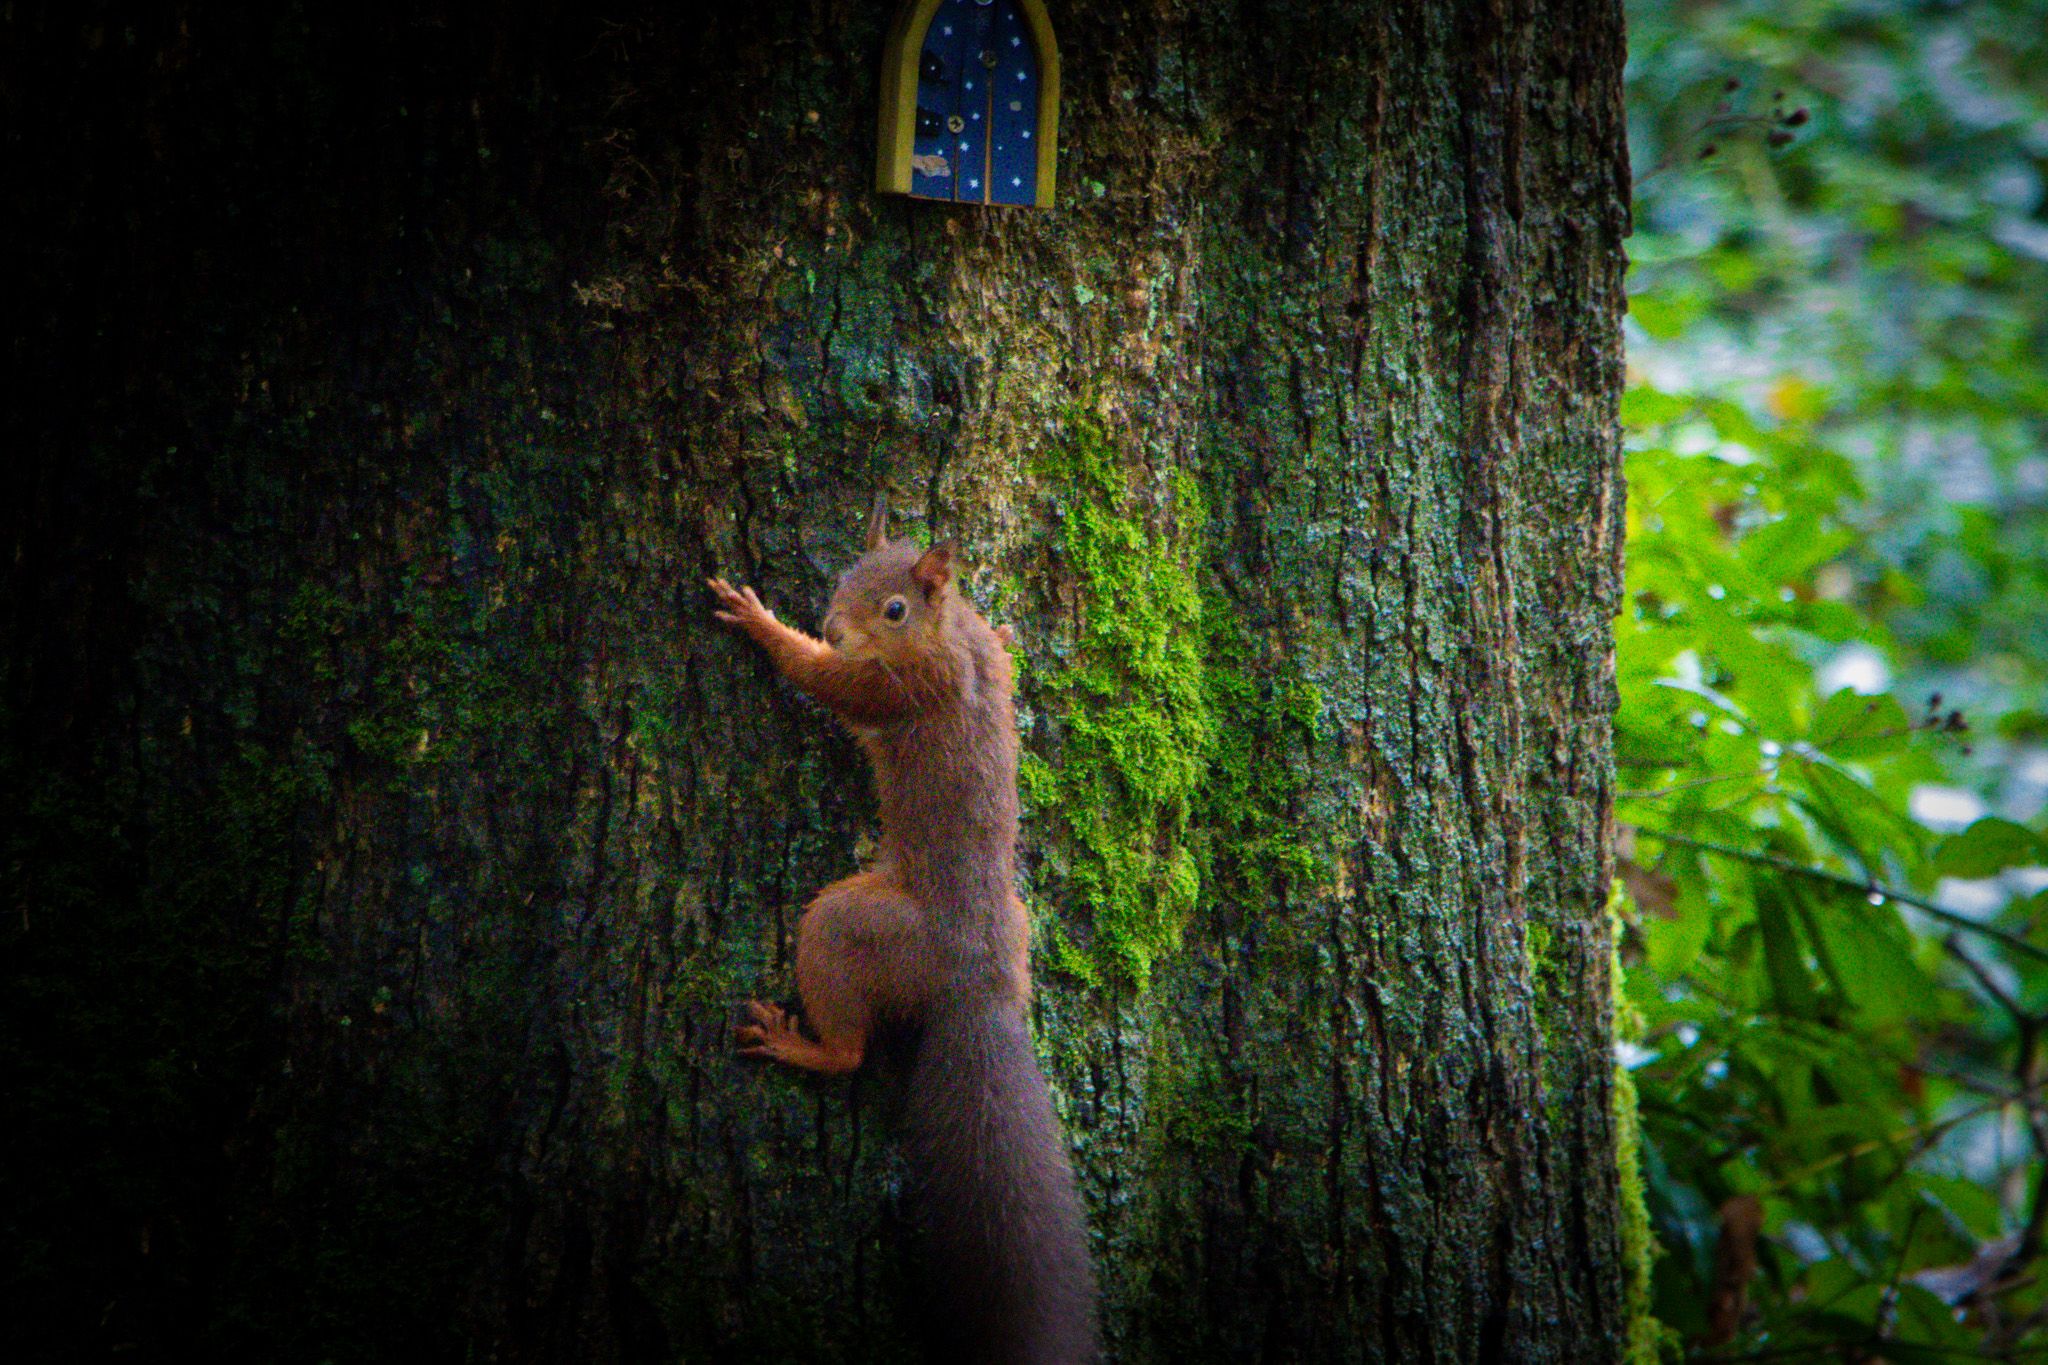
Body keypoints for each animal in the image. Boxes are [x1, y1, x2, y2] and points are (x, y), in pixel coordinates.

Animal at [707, 493, 1098, 1364]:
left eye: (893, 608)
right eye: (845, 573)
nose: (830, 620)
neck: (945, 635)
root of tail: (980, 983)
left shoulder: (900, 686)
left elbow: (827, 680)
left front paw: (764, 623)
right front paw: (1011, 638)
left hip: (851, 927)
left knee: (850, 1048)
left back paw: (797, 1042)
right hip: (1018, 922)